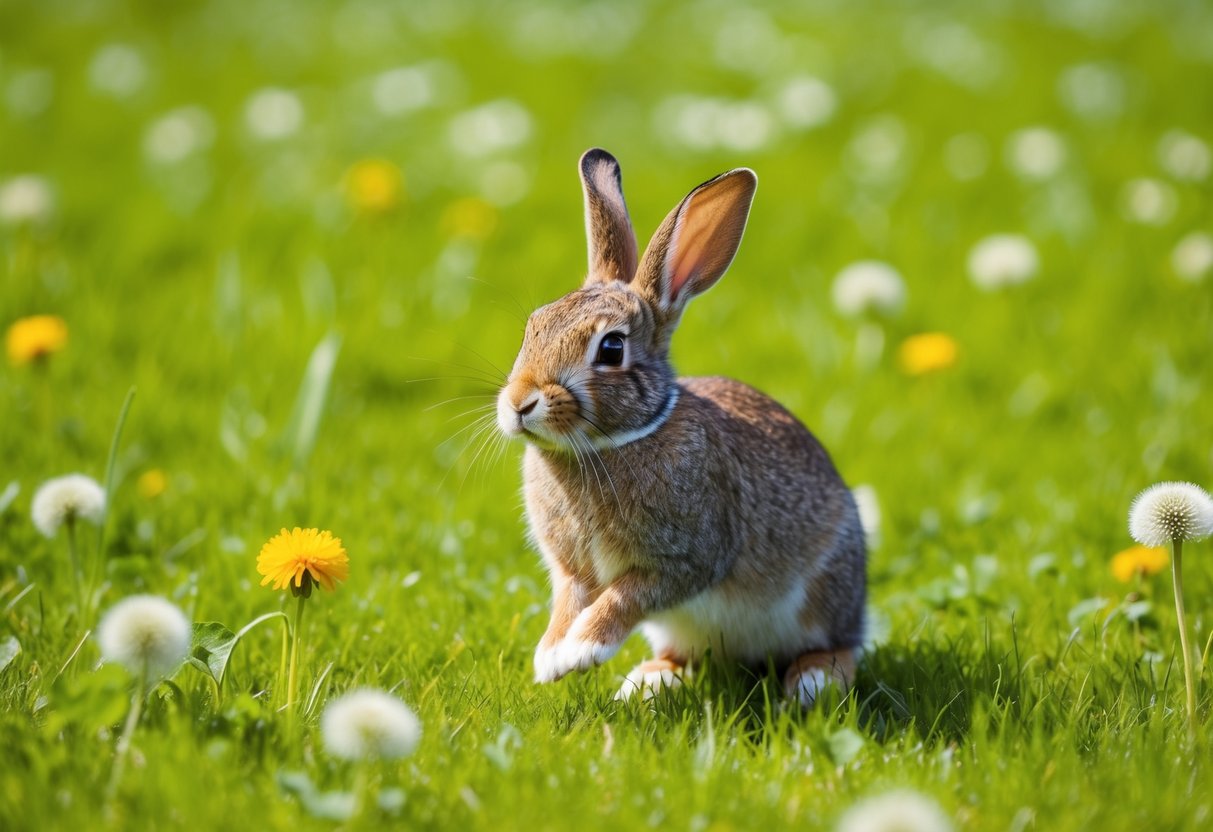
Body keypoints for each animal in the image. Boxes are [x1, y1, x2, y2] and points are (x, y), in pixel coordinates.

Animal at [495, 148, 867, 704]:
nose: (520, 403)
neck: (613, 442)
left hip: (827, 590)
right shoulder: (572, 570)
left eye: (611, 348)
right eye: (533, 327)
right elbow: (568, 600)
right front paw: (551, 657)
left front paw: (580, 650)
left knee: (843, 647)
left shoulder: (687, 558)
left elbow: (626, 595)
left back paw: (812, 678)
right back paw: (650, 680)